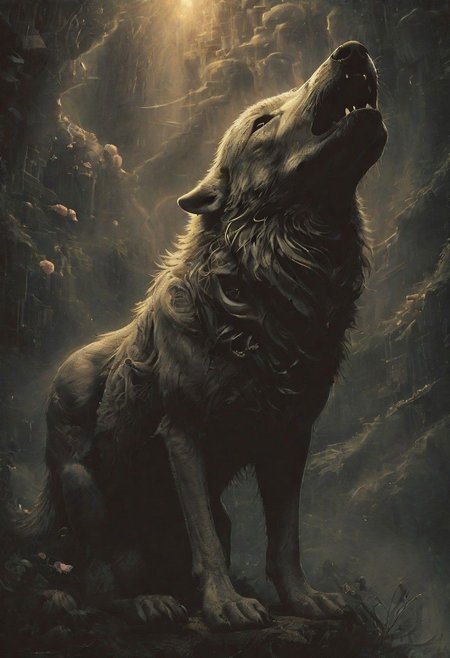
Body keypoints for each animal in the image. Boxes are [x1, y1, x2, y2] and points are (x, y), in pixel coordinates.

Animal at [30, 41, 386, 630]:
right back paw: (145, 603)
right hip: (82, 489)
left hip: (218, 513)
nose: (352, 51)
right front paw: (226, 605)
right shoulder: (183, 434)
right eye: (262, 121)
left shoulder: (291, 437)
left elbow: (285, 541)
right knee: (97, 585)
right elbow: (207, 548)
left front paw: (304, 601)